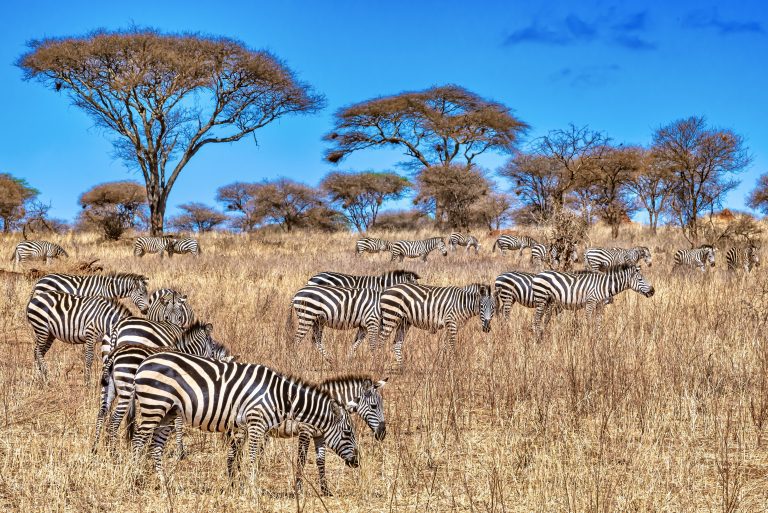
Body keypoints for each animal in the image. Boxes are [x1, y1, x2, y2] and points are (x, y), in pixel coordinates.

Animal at [92, 322, 231, 456]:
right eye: (213, 345)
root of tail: (115, 352)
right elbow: (178, 423)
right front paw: (179, 452)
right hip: (126, 389)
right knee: (114, 420)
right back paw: (113, 452)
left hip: (109, 387)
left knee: (102, 413)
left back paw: (96, 449)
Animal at [129, 354, 360, 485]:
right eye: (348, 433)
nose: (357, 462)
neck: (280, 397)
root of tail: (144, 362)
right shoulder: (257, 423)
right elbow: (253, 457)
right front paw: (253, 487)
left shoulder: (247, 426)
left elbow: (239, 455)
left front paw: (239, 484)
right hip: (154, 405)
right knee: (138, 441)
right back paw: (133, 478)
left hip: (168, 412)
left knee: (155, 446)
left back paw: (164, 483)